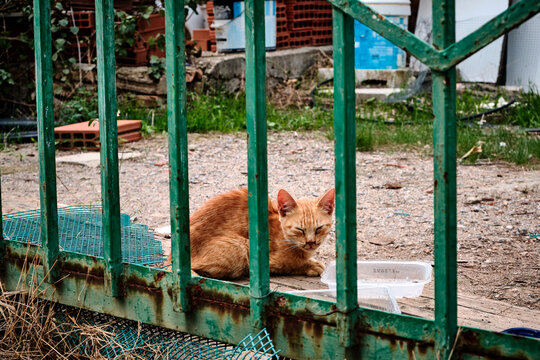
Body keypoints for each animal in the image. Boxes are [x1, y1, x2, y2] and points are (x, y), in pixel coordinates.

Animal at [166, 188, 334, 278]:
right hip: (241, 245)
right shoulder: (270, 262)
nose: (311, 242)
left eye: (319, 228)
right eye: (300, 229)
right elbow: (292, 264)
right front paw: (312, 265)